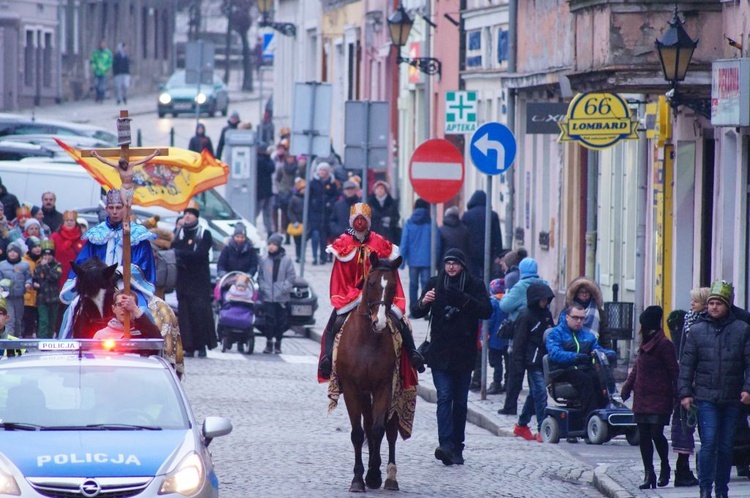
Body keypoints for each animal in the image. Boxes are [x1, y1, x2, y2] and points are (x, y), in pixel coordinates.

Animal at [336, 255, 406, 492]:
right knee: (366, 426)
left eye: (393, 286)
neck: (367, 339)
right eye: (371, 283)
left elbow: (378, 429)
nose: (380, 322)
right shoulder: (352, 388)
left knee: (390, 430)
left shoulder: (384, 386)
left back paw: (391, 477)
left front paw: (374, 474)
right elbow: (358, 433)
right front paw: (358, 479)